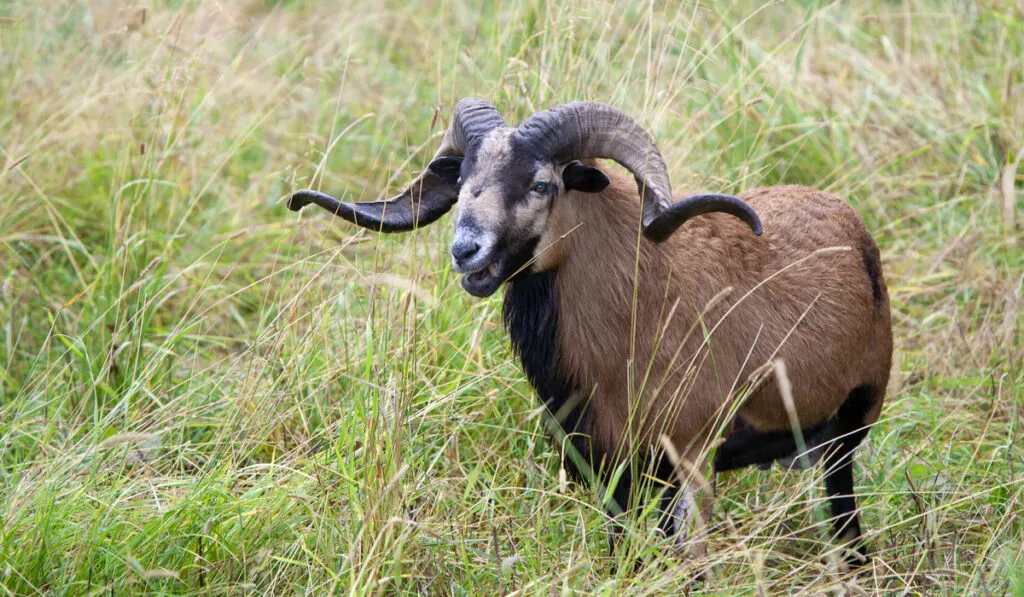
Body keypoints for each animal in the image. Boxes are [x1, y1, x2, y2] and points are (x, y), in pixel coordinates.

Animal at [286, 98, 888, 569]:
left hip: (847, 432)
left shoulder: (693, 459)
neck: (643, 306)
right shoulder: (615, 470)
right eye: (461, 181)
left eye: (541, 184)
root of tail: (853, 225)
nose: (466, 251)